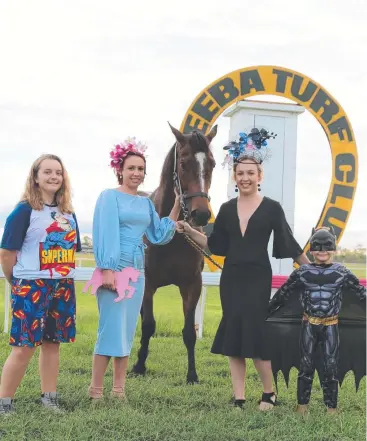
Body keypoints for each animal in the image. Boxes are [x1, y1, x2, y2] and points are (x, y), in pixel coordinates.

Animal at [132, 123, 217, 382]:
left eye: (212, 164)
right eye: (184, 163)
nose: (201, 214)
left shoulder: (192, 284)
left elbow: (189, 331)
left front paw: (192, 375)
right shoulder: (147, 284)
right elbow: (148, 325)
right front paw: (139, 366)